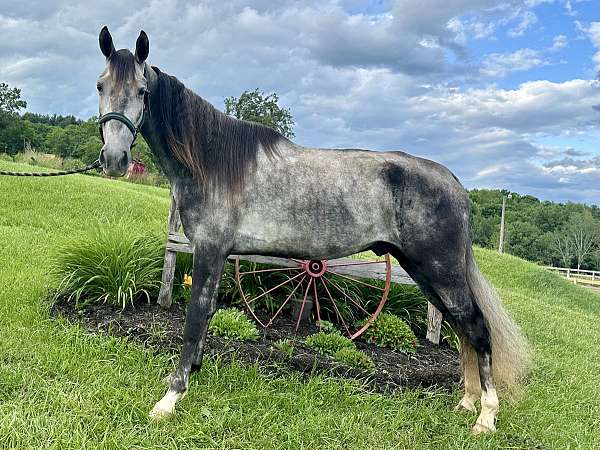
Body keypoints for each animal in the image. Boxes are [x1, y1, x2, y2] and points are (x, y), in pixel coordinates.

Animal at [95, 27, 528, 432]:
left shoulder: (210, 250)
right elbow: (204, 317)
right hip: (425, 274)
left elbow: (195, 318)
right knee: (462, 330)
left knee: (477, 330)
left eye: (142, 90)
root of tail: (453, 181)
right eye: (101, 85)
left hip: (441, 271)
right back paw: (467, 402)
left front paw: (171, 397)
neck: (214, 161)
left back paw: (485, 416)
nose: (115, 159)